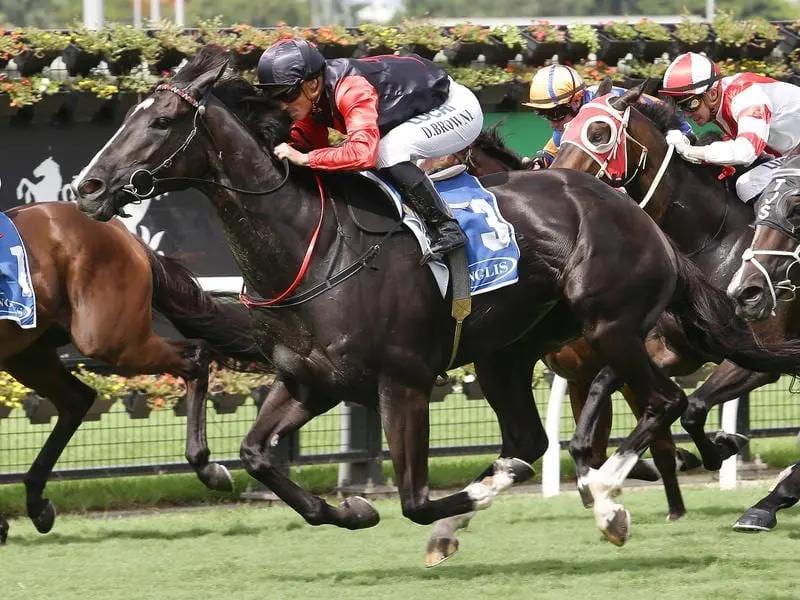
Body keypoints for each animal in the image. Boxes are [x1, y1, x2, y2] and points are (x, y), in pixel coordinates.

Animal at [0, 200, 262, 544]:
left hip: (111, 339)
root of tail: (120, 231)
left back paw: (206, 467)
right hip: (28, 351)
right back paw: (35, 504)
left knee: (196, 356)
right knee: (76, 399)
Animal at [70, 45, 800, 552]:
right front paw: (348, 508)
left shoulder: (404, 382)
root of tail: (634, 213)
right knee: (533, 438)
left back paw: (609, 498)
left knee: (665, 402)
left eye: (163, 120)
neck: (312, 243)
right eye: (131, 115)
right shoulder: (311, 380)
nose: (89, 187)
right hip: (508, 354)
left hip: (613, 325)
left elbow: (417, 499)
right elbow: (255, 456)